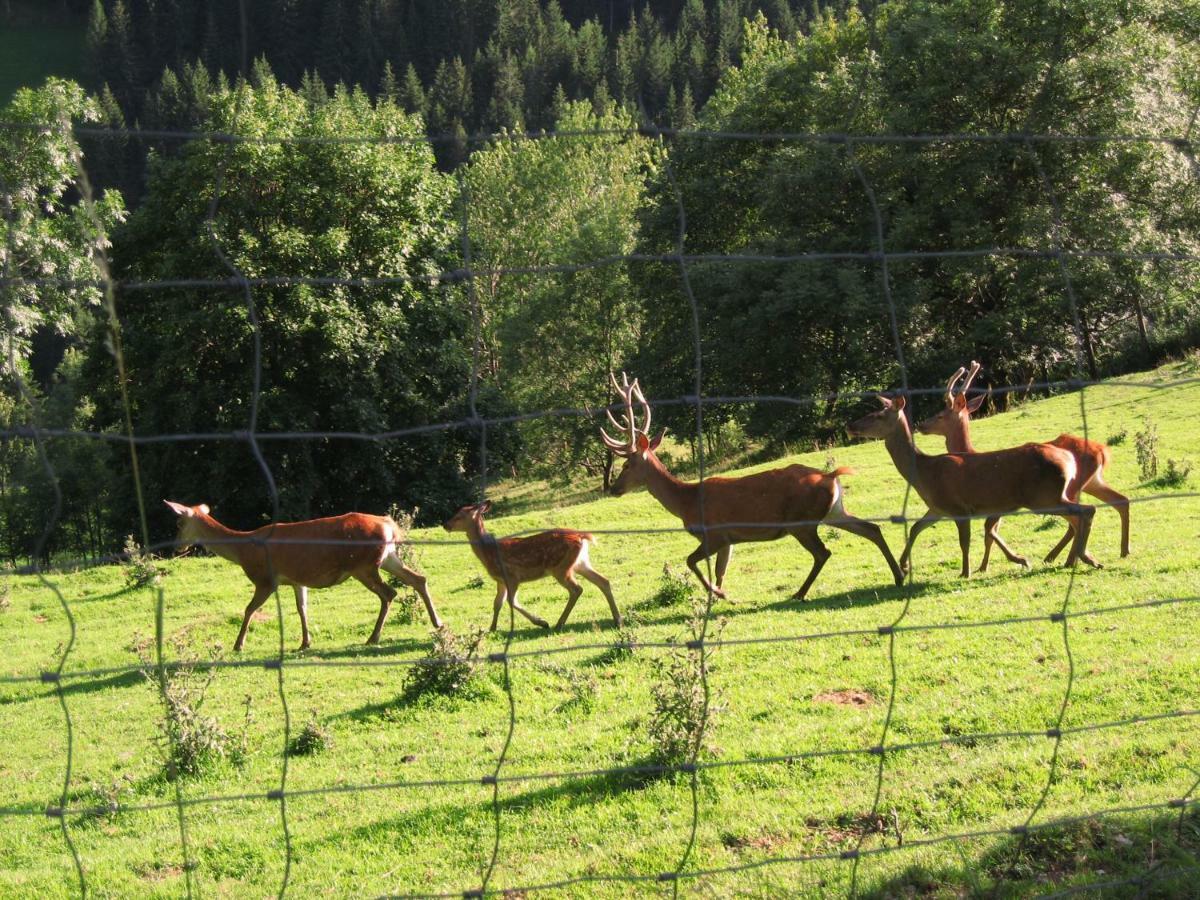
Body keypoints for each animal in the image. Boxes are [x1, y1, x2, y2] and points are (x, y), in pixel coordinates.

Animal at [160, 501, 441, 657]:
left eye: (179, 523)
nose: (176, 547)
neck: (243, 551)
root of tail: (390, 525)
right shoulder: (297, 579)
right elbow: (302, 608)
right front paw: (305, 642)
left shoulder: (265, 579)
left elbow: (249, 609)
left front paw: (238, 644)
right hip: (387, 557)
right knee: (419, 578)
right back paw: (437, 623)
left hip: (363, 565)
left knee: (389, 593)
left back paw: (374, 637)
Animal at [446, 501, 624, 633]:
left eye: (459, 516)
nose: (445, 524)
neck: (488, 552)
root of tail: (582, 536)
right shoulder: (500, 580)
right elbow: (497, 603)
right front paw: (492, 628)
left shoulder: (512, 576)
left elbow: (512, 601)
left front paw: (542, 622)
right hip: (580, 563)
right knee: (603, 581)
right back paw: (618, 620)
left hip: (560, 567)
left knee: (577, 589)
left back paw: (559, 624)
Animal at [600, 374, 902, 607]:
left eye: (627, 464)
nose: (613, 488)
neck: (686, 502)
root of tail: (830, 476)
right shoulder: (729, 539)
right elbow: (720, 570)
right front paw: (721, 596)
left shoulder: (715, 533)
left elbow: (692, 562)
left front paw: (718, 594)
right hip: (833, 511)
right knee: (872, 529)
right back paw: (899, 575)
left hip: (801, 521)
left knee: (823, 552)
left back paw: (799, 593)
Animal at [844, 393, 1099, 578]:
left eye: (877, 415)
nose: (850, 426)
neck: (924, 474)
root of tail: (1067, 459)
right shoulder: (937, 507)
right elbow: (916, 528)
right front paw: (904, 565)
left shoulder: (958, 506)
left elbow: (964, 541)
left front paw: (965, 572)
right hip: (1050, 496)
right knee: (1081, 515)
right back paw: (1080, 558)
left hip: (1043, 496)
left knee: (1086, 512)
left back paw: (1084, 558)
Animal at [916, 362, 1132, 566]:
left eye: (940, 414)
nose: (921, 425)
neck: (970, 452)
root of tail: (1102, 451)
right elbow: (990, 532)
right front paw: (985, 565)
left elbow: (989, 531)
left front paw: (989, 565)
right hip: (1091, 482)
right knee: (1120, 501)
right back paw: (1120, 551)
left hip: (1065, 490)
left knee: (1077, 520)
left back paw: (1066, 558)